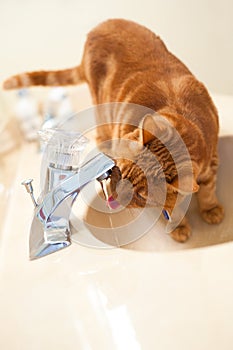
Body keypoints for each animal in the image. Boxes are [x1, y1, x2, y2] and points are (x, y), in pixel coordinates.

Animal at [2, 18, 224, 241]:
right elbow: (172, 208)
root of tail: (99, 27)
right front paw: (179, 225)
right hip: (101, 106)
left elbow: (207, 190)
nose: (115, 198)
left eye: (141, 195)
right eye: (120, 172)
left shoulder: (211, 162)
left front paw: (210, 209)